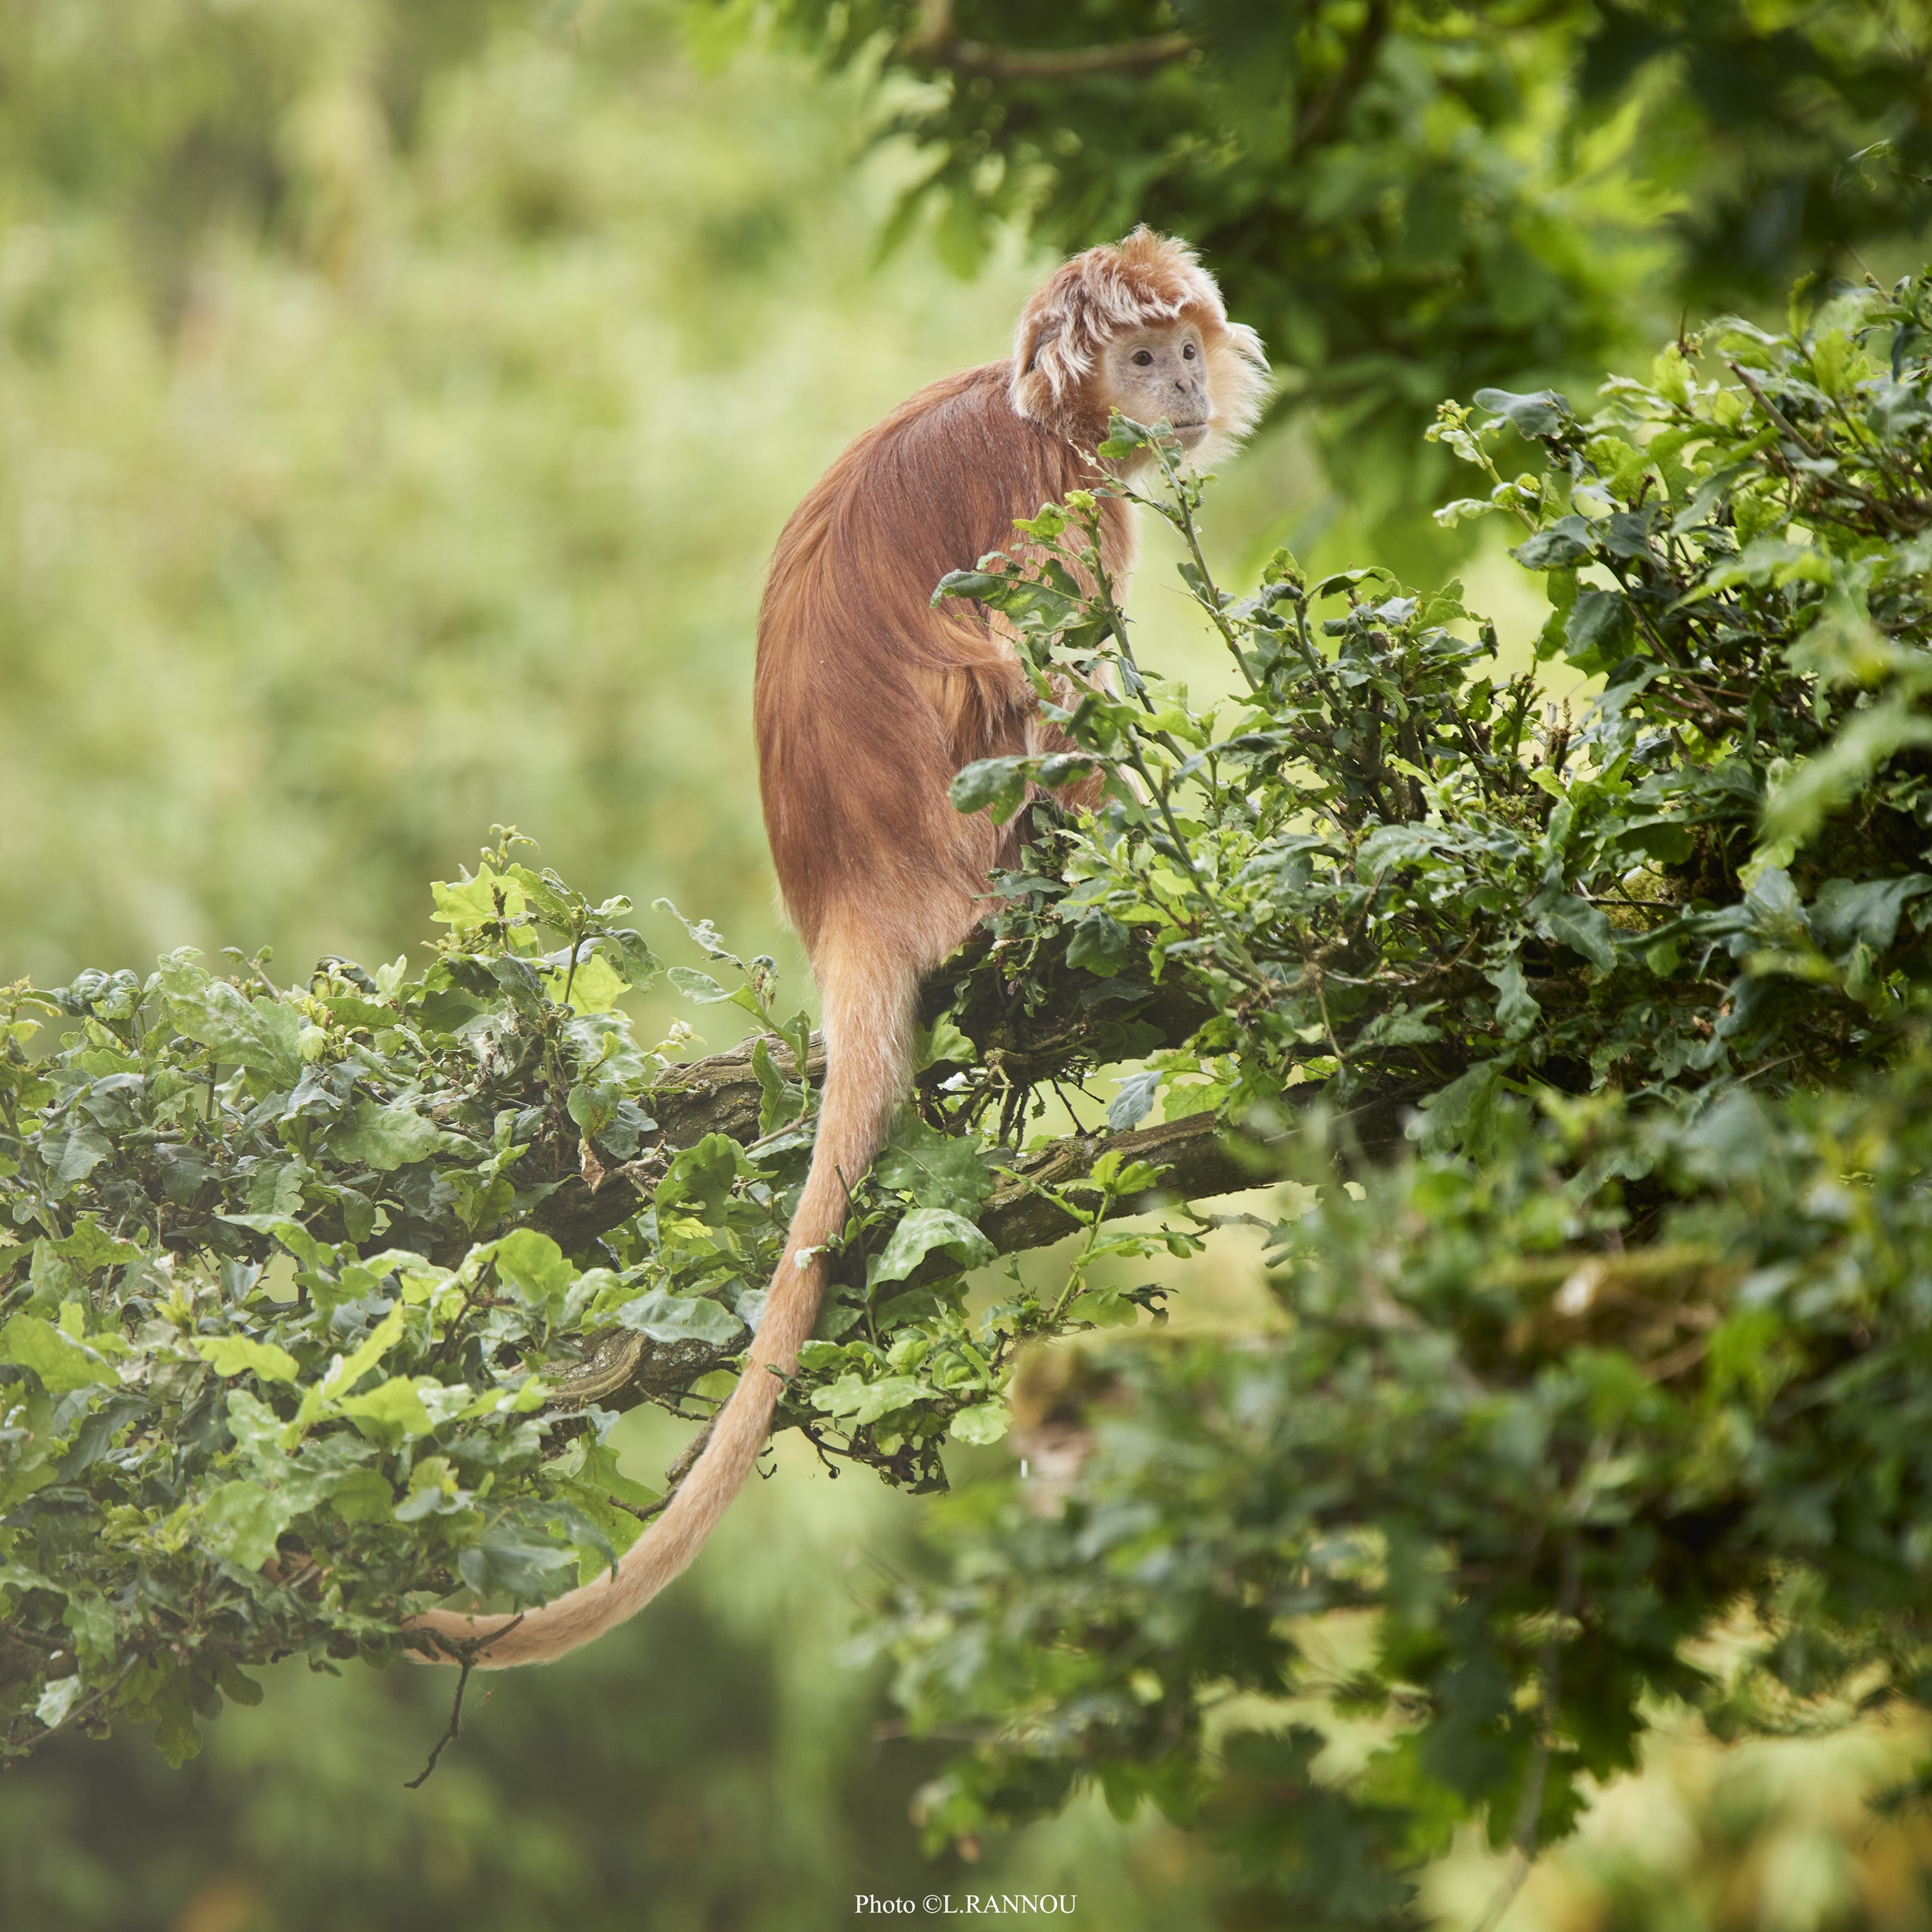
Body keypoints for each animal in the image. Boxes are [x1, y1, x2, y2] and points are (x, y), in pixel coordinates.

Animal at [407, 230, 1267, 1677]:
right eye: (1144, 356)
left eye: (1184, 350)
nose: (1186, 387)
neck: (1041, 414)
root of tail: (849, 896)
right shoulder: (1062, 507)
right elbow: (1062, 665)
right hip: (970, 839)